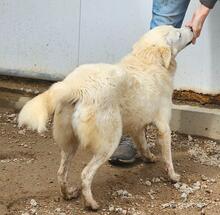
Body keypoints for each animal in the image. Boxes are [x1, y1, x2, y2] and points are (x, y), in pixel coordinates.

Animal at [18, 25, 192, 210]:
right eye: (178, 34)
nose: (191, 27)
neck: (147, 60)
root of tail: (76, 87)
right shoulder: (164, 127)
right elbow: (168, 158)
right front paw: (173, 176)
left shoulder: (137, 127)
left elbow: (143, 145)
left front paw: (150, 157)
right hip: (108, 142)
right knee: (85, 174)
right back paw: (91, 203)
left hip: (70, 144)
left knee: (61, 173)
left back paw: (68, 194)